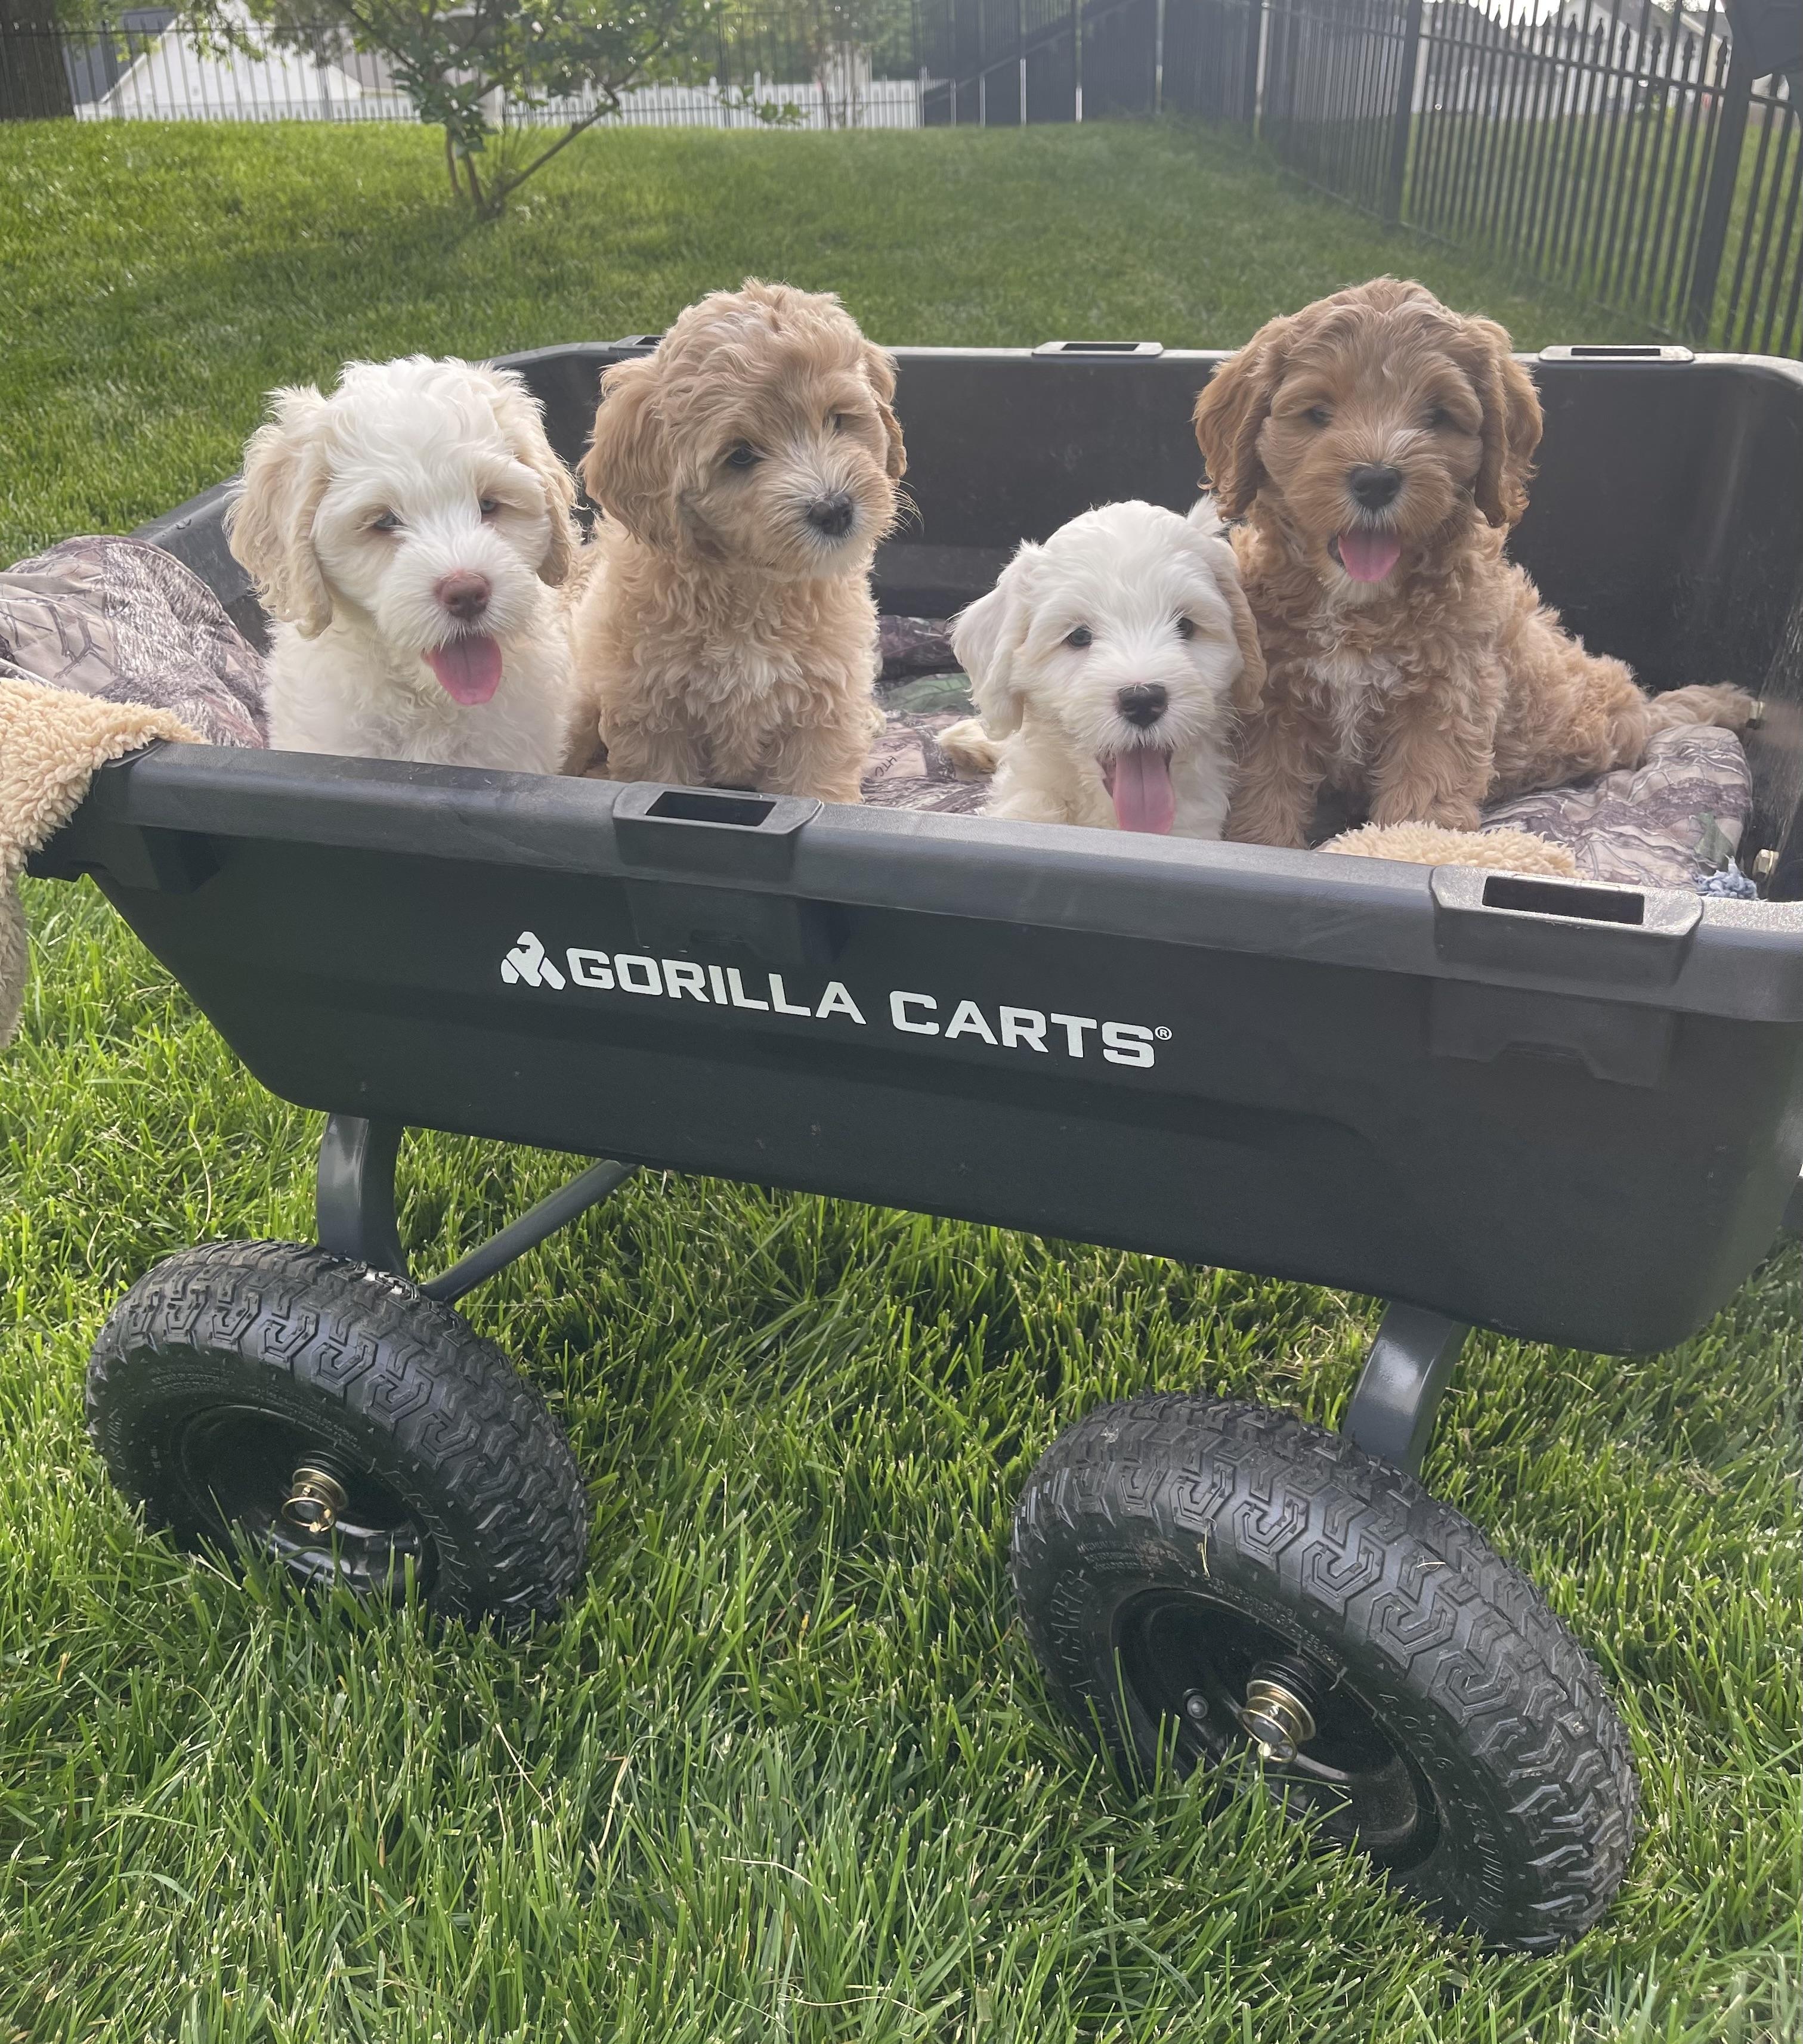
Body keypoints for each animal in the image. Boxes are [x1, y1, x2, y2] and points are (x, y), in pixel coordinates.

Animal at [569, 280, 905, 801]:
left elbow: (818, 787)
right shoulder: (653, 717)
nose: (834, 510)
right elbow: (658, 776)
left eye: (836, 419)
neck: (752, 584)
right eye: (740, 455)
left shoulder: (821, 714)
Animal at [1192, 278, 1752, 848]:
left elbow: (1425, 796)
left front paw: (1406, 847)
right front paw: (1260, 844)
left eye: (1437, 416)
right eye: (1318, 413)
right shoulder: (1274, 705)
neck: (1357, 609)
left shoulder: (1446, 703)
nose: (1375, 480)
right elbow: (1265, 795)